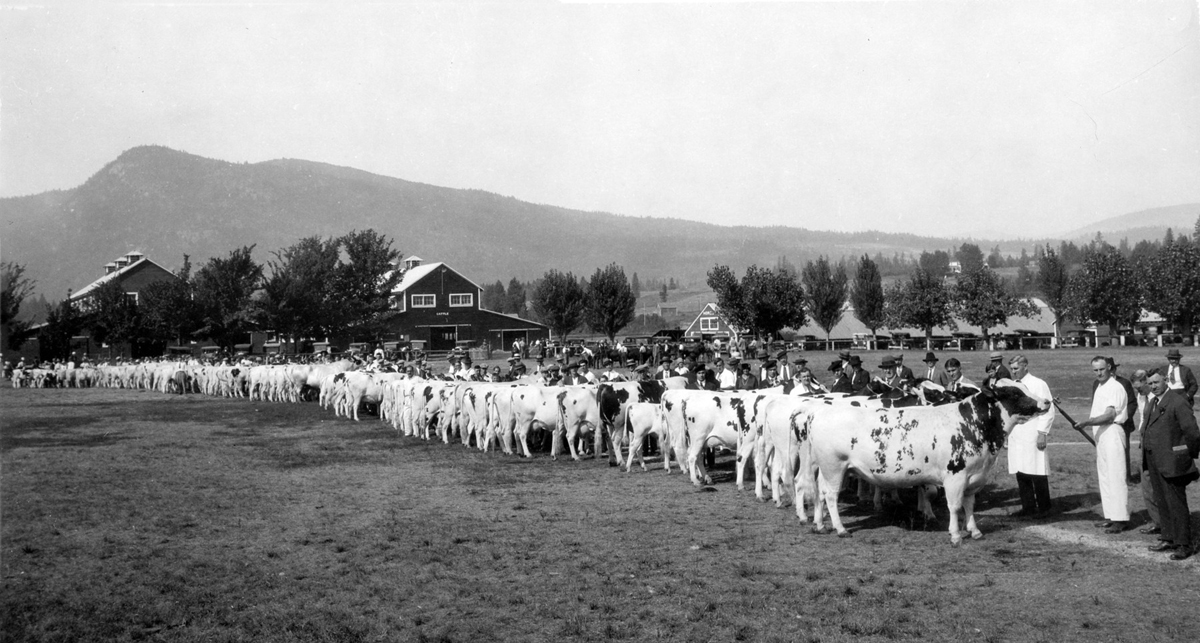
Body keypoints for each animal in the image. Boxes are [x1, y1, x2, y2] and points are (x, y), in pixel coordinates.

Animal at [806, 379, 1051, 544]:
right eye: (1014, 393)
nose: (1046, 401)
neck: (973, 425)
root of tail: (819, 413)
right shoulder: (955, 475)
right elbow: (955, 506)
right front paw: (955, 535)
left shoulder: (975, 477)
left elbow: (969, 505)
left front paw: (974, 531)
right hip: (834, 467)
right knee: (831, 496)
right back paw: (840, 528)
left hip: (825, 468)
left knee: (820, 492)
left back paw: (819, 524)